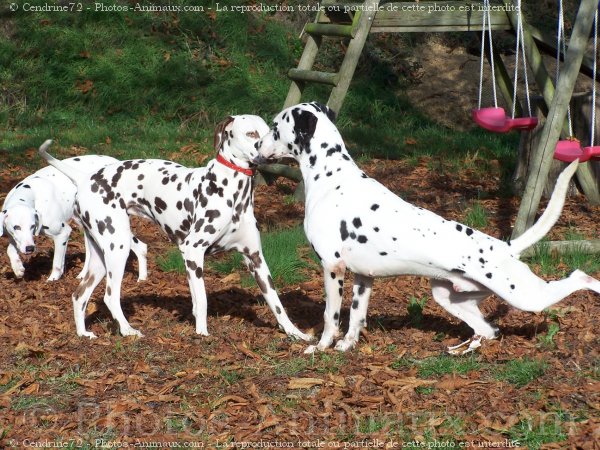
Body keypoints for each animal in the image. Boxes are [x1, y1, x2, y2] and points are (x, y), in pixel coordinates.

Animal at [1, 156, 147, 282]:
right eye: (16, 227)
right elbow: (10, 250)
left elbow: (57, 263)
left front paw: (53, 279)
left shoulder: (62, 234)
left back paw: (142, 279)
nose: (30, 249)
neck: (33, 191)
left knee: (141, 247)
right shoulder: (15, 238)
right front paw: (18, 268)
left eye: (32, 226)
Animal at [37, 113, 312, 342]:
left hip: (100, 259)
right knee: (110, 296)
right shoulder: (193, 252)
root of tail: (86, 178)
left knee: (79, 296)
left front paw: (295, 333)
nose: (273, 152)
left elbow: (277, 304)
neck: (233, 194)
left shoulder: (256, 259)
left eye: (270, 132)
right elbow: (202, 300)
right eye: (252, 134)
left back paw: (83, 333)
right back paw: (128, 330)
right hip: (118, 249)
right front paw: (202, 333)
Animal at [256, 103, 600, 356]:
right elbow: (355, 318)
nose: (257, 144)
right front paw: (346, 346)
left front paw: (321, 346)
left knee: (578, 276)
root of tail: (506, 247)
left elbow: (331, 316)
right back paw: (461, 350)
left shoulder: (332, 267)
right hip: (450, 298)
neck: (331, 176)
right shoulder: (364, 278)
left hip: (527, 296)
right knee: (489, 331)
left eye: (274, 127)